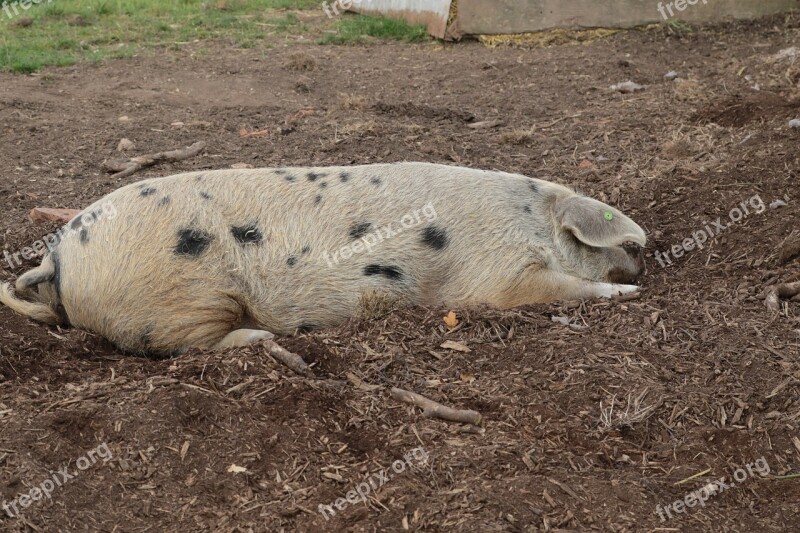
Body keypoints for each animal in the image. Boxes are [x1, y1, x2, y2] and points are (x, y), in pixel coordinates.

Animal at [0, 162, 648, 354]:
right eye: (628, 245)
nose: (643, 267)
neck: (533, 221)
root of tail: (58, 260)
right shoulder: (497, 276)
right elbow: (558, 289)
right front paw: (631, 295)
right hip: (178, 302)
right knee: (187, 346)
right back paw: (262, 340)